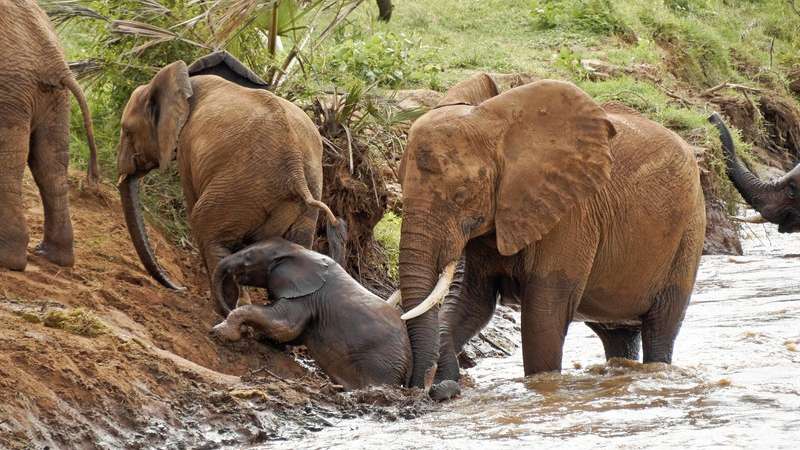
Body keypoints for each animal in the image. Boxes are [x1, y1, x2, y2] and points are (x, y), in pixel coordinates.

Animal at [0, 0, 99, 271]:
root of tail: (53, 60)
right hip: (55, 98)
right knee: (50, 164)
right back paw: (53, 257)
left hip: (10, 92)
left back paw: (9, 260)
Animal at [116, 58, 343, 313]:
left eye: (127, 131)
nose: (179, 288)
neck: (184, 80)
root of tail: (294, 167)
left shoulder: (186, 147)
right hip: (304, 195)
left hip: (241, 189)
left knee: (208, 232)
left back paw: (224, 310)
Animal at [211, 238, 412, 389]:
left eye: (248, 257)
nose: (246, 332)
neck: (300, 252)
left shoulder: (305, 297)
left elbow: (285, 325)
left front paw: (220, 332)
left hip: (382, 364)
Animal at [396, 73, 707, 398]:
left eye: (461, 194)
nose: (421, 389)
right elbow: (471, 302)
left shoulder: (570, 214)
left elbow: (542, 317)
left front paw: (543, 387)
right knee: (618, 336)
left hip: (689, 231)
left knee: (661, 327)